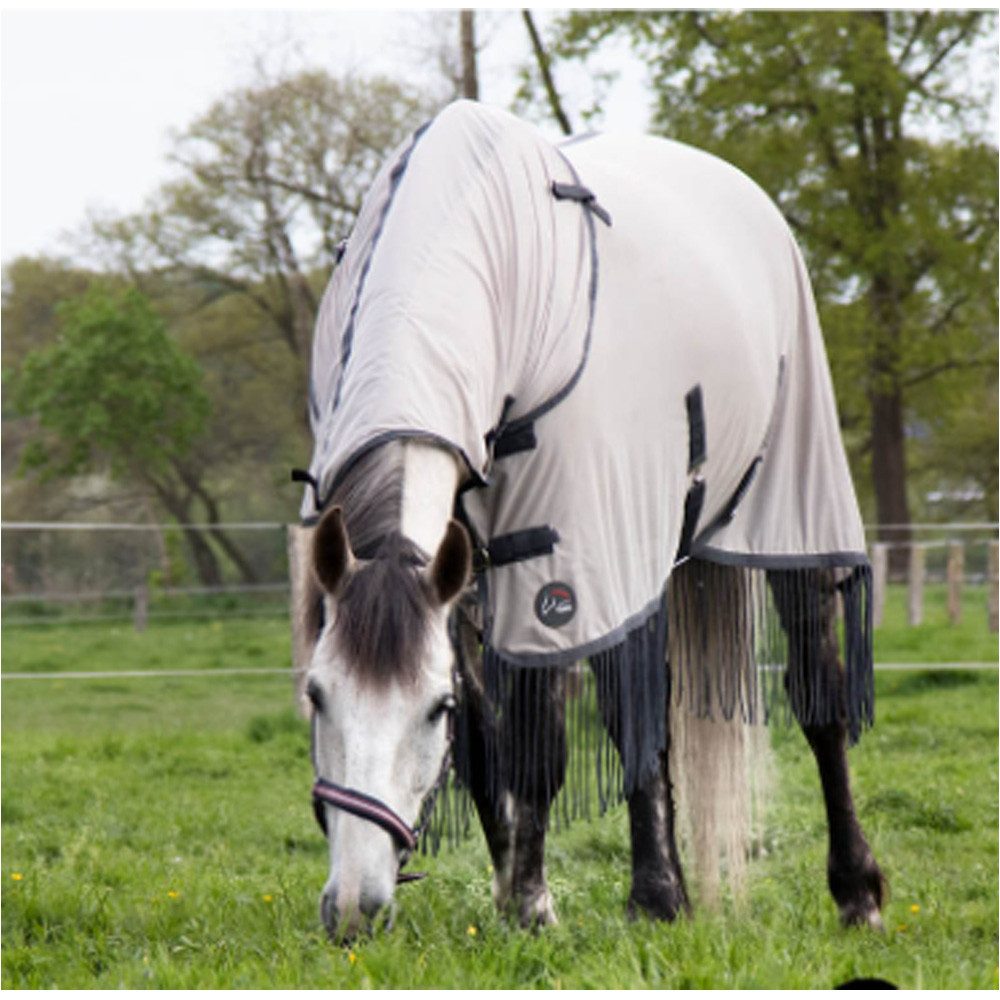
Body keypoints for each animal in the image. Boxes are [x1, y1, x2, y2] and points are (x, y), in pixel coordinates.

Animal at [290, 101, 886, 940]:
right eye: (316, 695)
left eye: (430, 709)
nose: (353, 908)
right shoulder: (467, 578)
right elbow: (493, 744)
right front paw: (516, 887)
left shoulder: (561, 561)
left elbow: (541, 742)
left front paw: (536, 904)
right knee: (646, 711)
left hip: (771, 512)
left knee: (817, 696)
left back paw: (843, 890)